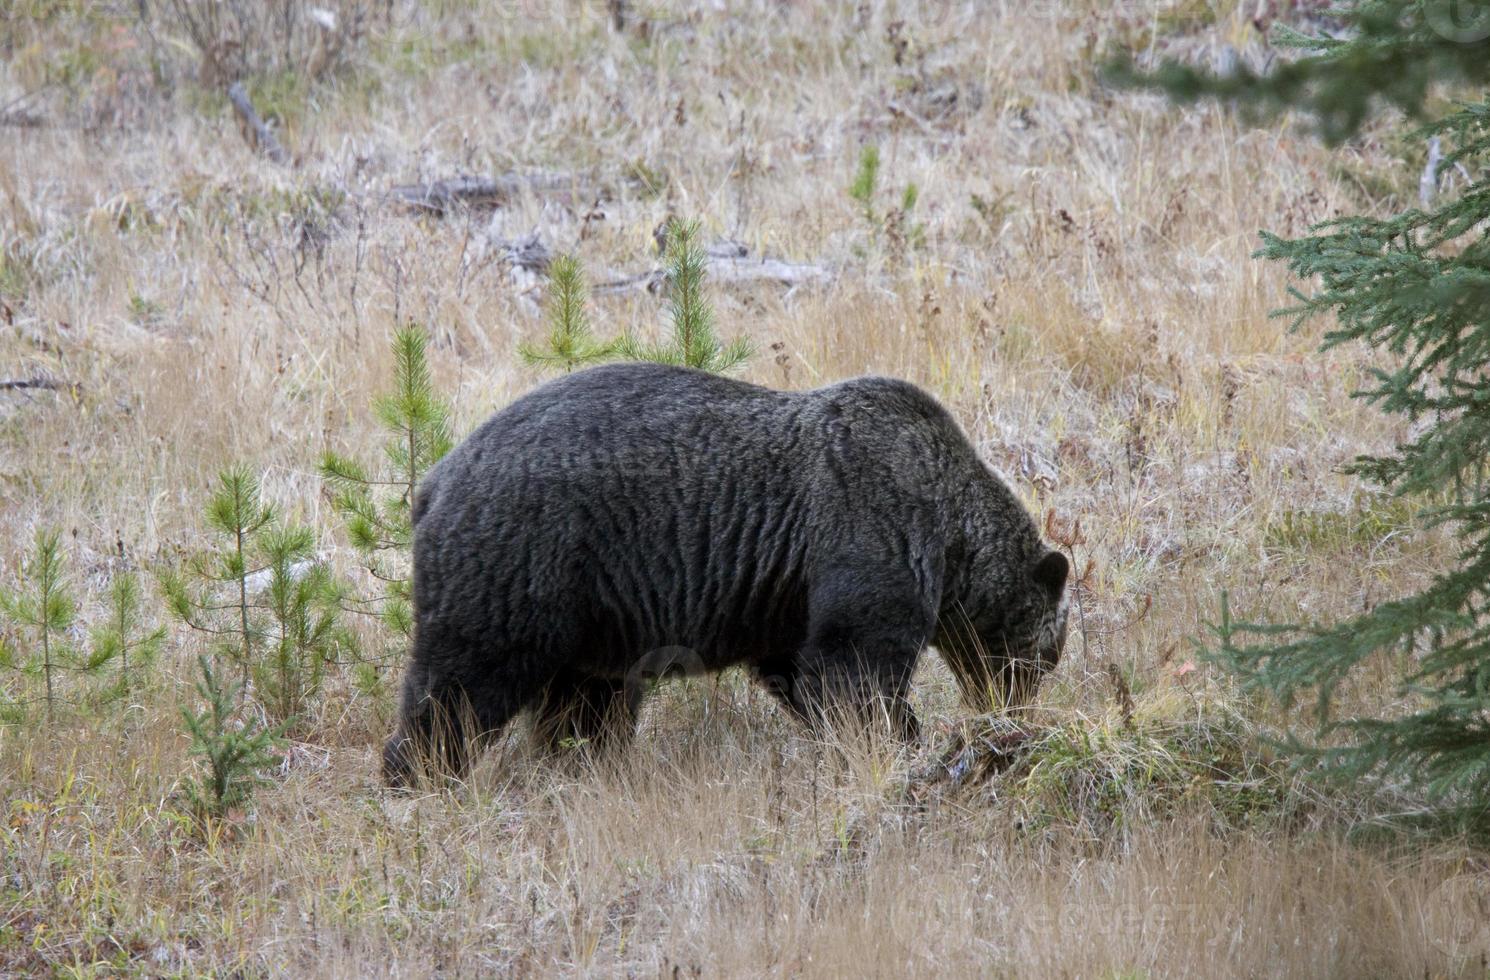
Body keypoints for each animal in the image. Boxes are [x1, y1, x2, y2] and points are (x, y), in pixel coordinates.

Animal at [378, 361, 1066, 780]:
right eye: (1046, 656)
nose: (1013, 715)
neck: (951, 539)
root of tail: (433, 482)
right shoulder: (872, 530)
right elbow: (856, 669)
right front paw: (896, 741)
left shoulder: (788, 595)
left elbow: (801, 672)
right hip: (521, 562)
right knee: (463, 684)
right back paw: (418, 774)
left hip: (590, 617)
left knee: (584, 705)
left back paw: (587, 769)